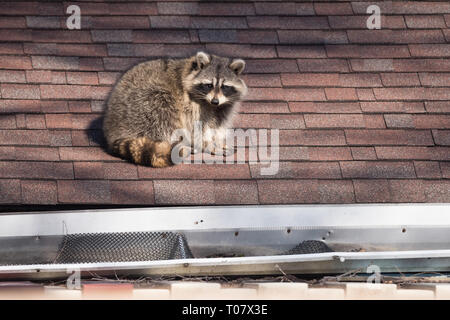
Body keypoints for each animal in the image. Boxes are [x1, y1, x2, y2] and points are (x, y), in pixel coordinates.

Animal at [102, 52, 246, 168]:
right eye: (209, 85)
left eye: (224, 87)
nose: (215, 101)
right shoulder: (193, 105)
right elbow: (197, 127)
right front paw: (207, 145)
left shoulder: (221, 107)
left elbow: (215, 123)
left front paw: (216, 141)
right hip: (141, 104)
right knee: (164, 112)